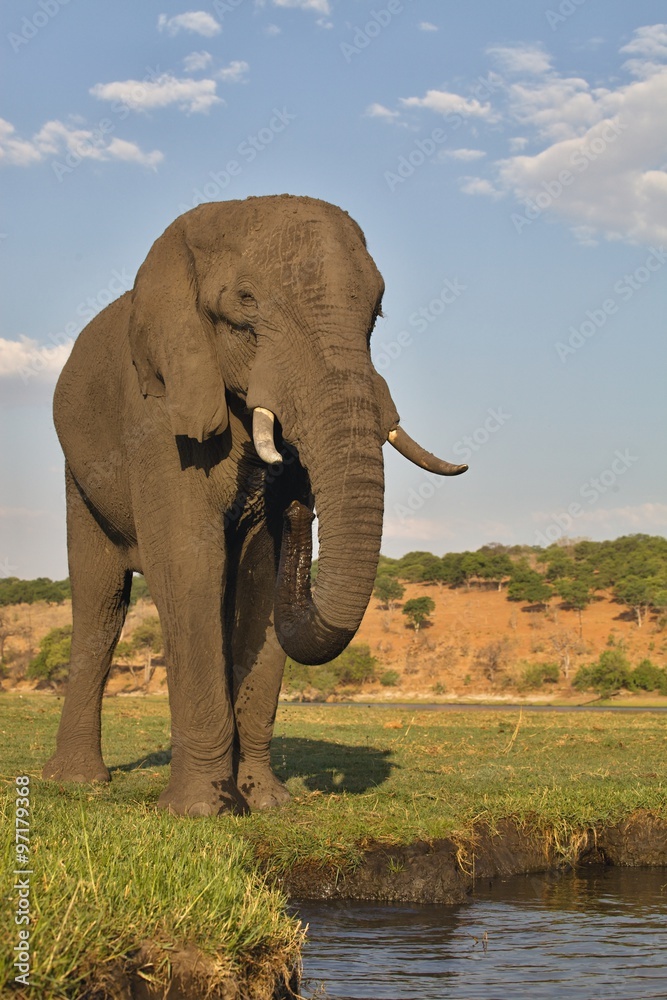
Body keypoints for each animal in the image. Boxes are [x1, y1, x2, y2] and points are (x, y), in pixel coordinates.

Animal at [42, 194, 467, 816]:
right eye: (244, 302)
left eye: (377, 313)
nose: (297, 499)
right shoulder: (157, 415)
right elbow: (189, 563)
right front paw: (199, 812)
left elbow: (259, 580)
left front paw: (267, 804)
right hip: (78, 474)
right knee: (101, 602)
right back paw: (76, 783)